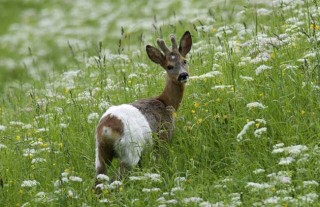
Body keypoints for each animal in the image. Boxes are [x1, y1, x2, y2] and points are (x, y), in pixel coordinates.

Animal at [94, 30, 191, 186]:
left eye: (184, 61)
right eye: (169, 66)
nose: (183, 75)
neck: (166, 103)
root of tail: (106, 129)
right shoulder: (163, 137)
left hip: (100, 152)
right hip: (130, 151)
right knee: (117, 179)